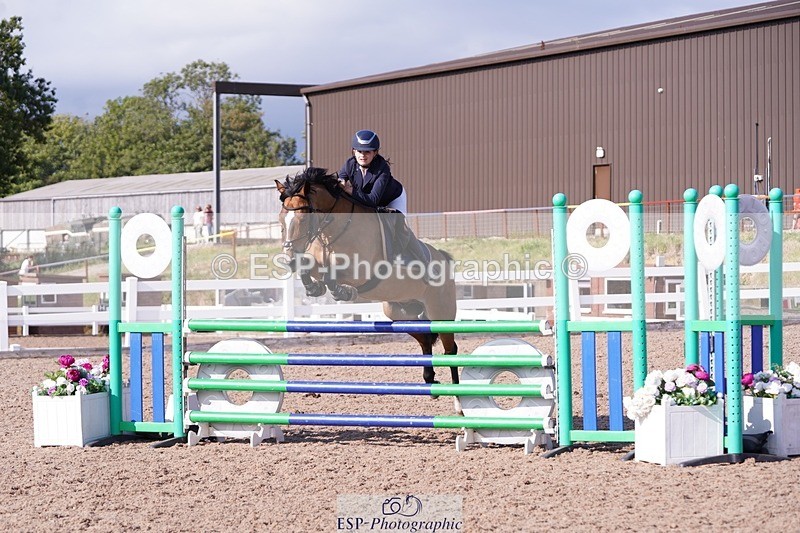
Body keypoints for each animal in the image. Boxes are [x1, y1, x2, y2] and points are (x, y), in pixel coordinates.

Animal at [275, 167, 459, 384]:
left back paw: (455, 392)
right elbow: (308, 268)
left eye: (302, 219)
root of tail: (444, 260)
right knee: (425, 339)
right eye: (280, 219)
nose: (288, 260)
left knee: (450, 349)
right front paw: (315, 288)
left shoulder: (360, 271)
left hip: (441, 312)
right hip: (399, 312)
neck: (334, 230)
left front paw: (343, 292)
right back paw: (429, 379)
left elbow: (331, 275)